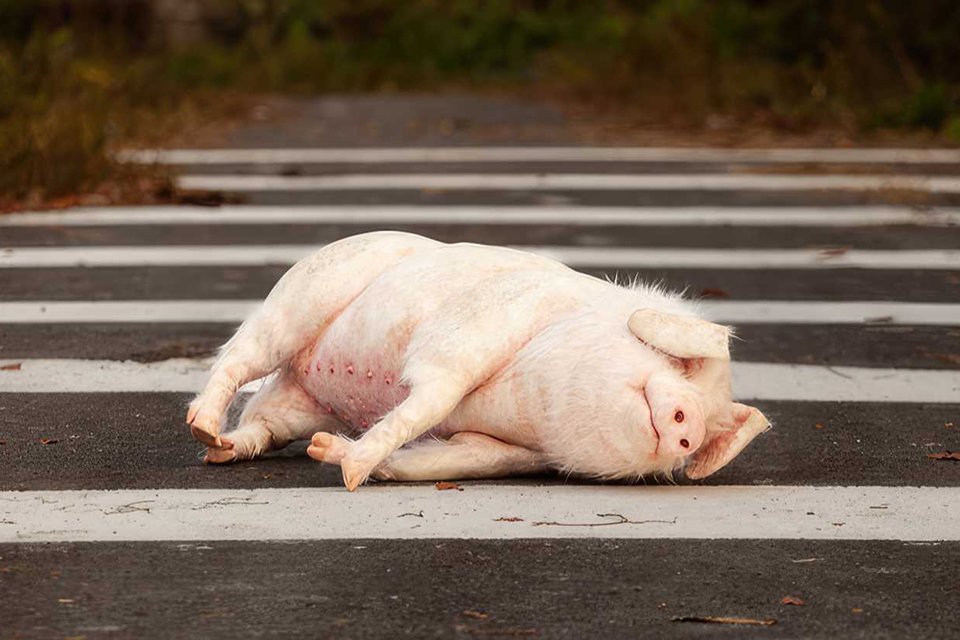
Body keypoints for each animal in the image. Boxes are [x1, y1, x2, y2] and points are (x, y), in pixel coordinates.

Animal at [187, 231, 769, 491]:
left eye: (715, 417)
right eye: (684, 365)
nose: (690, 425)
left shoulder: (513, 453)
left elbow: (447, 458)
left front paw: (331, 455)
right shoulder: (471, 337)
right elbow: (428, 399)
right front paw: (352, 476)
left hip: (299, 402)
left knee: (263, 427)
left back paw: (222, 449)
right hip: (299, 299)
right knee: (237, 358)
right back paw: (201, 427)